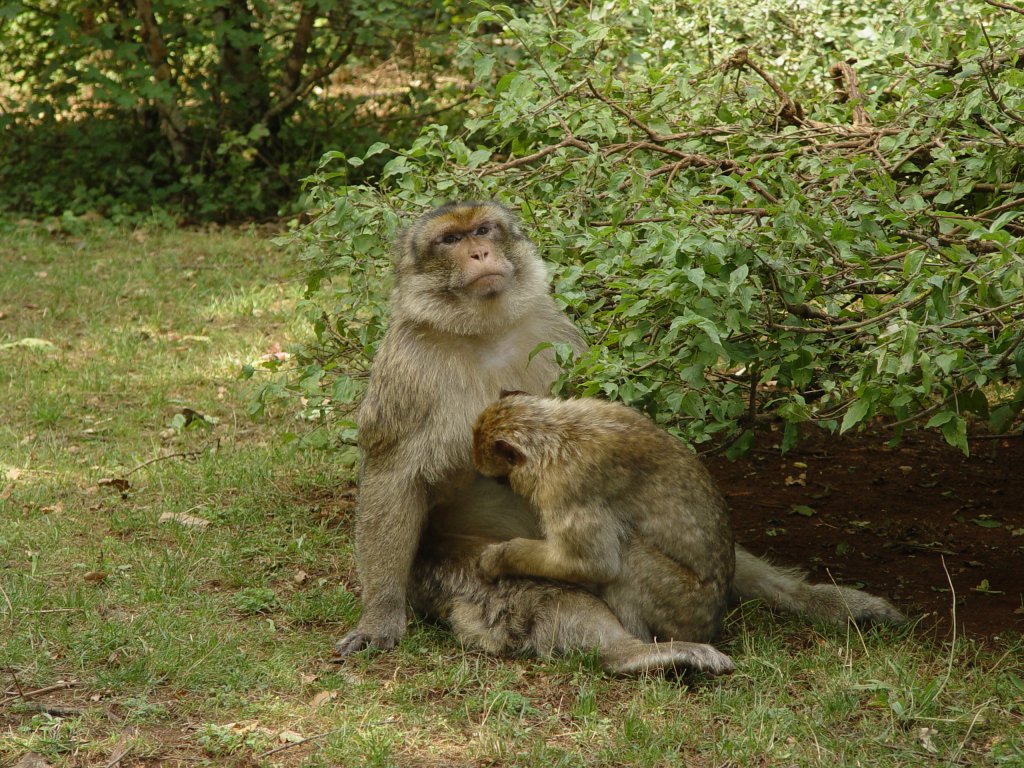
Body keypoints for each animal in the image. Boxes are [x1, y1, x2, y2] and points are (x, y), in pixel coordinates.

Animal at [468, 393, 741, 671]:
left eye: (501, 479)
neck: (555, 433)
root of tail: (712, 622)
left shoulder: (564, 488)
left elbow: (594, 564)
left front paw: (500, 557)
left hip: (682, 605)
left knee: (628, 553)